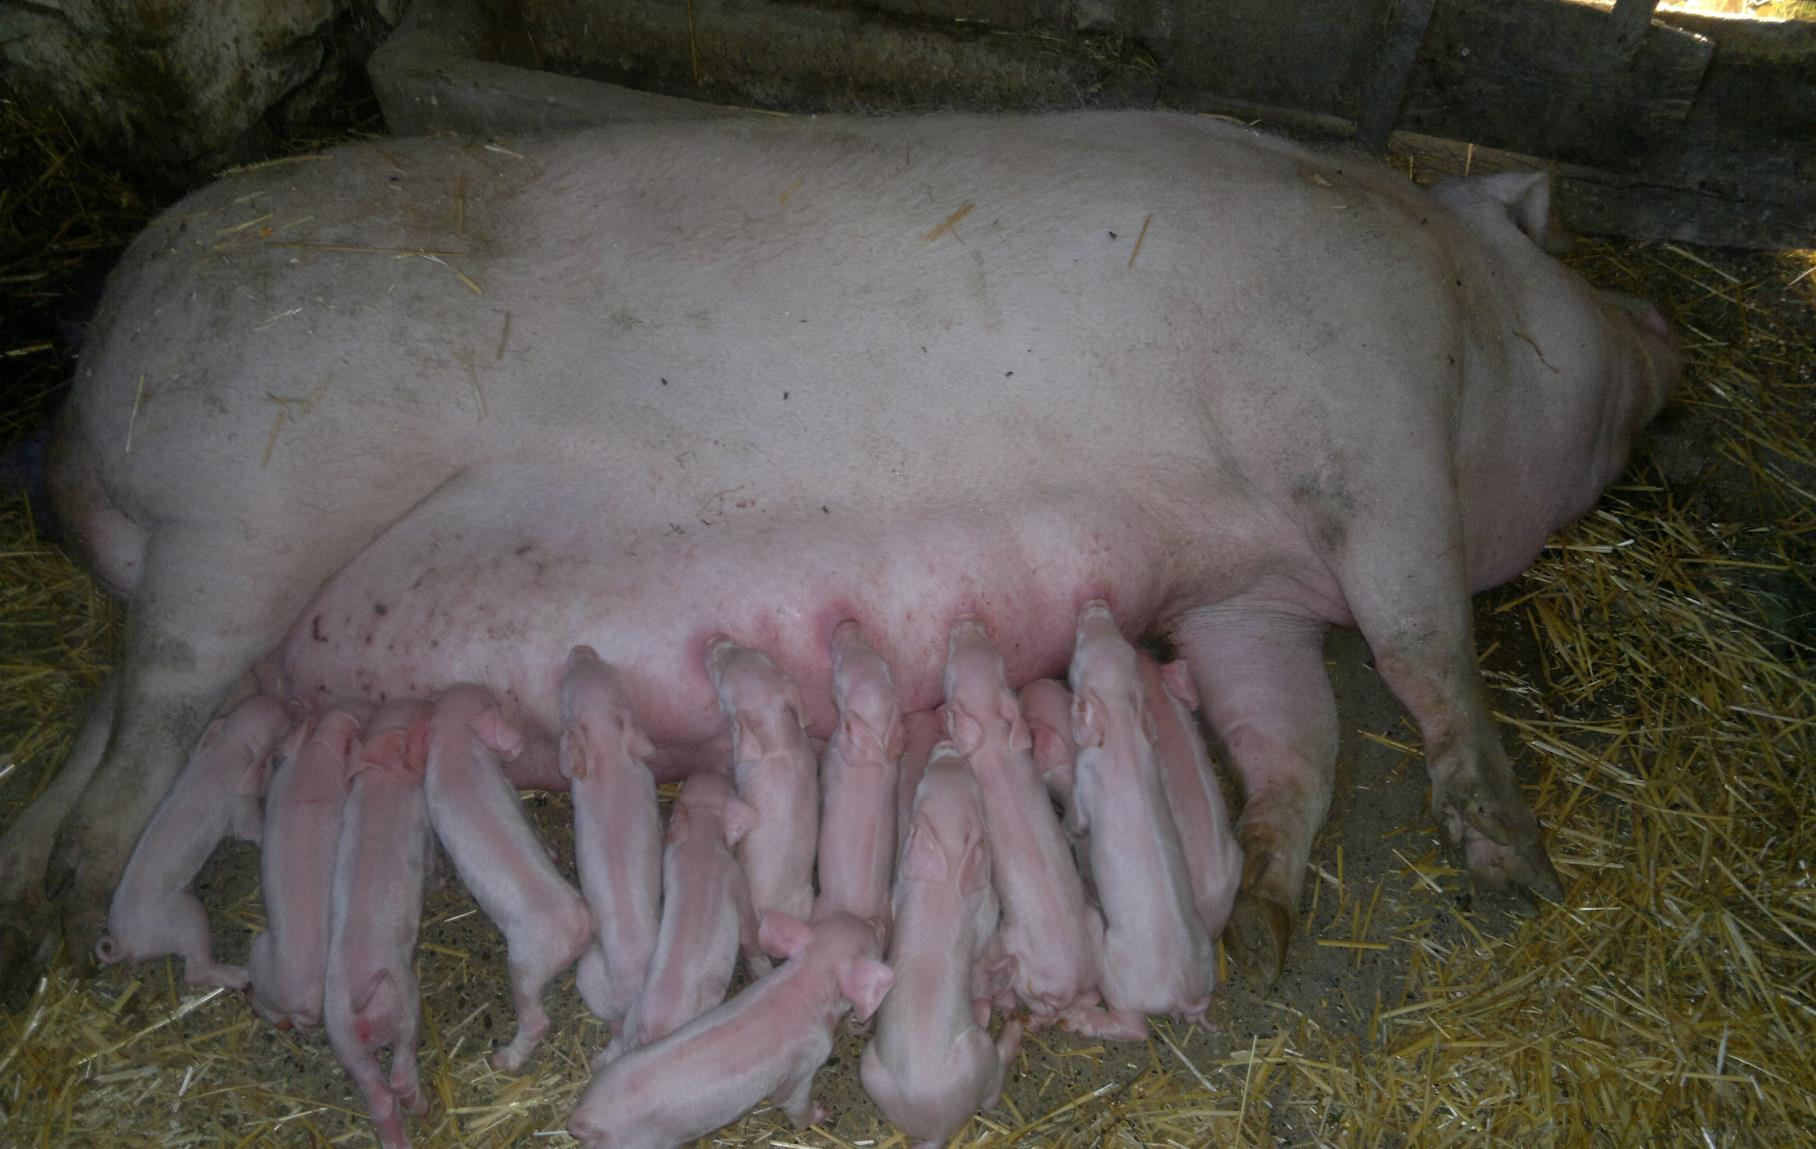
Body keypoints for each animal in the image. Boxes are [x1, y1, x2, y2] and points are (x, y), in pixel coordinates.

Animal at [3, 112, 1670, 1001]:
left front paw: (1257, 926)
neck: (1469, 324)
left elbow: (1297, 744)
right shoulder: (1372, 440)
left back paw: (30, 893)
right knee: (146, 722)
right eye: (1575, 264)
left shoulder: (1246, 596)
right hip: (245, 508)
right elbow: (1429, 647)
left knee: (96, 732)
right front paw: (1518, 867)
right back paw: (76, 932)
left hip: (222, 579)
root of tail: (81, 407)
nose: (1669, 344)